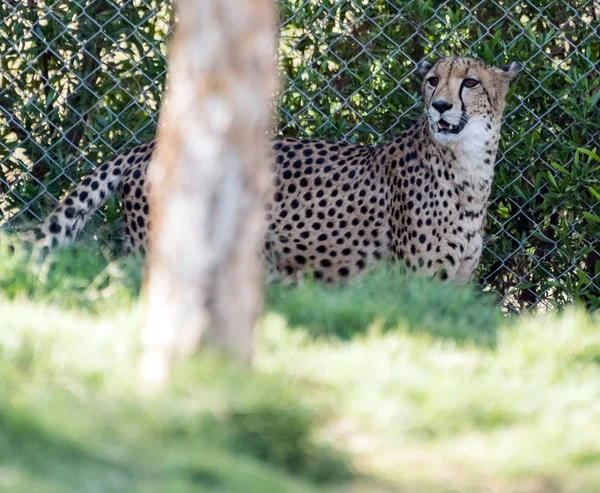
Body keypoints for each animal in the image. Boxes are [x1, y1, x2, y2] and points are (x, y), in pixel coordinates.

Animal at [24, 56, 520, 282]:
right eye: (434, 80)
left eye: (470, 82)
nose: (440, 105)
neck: (469, 168)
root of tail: (147, 145)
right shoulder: (415, 279)